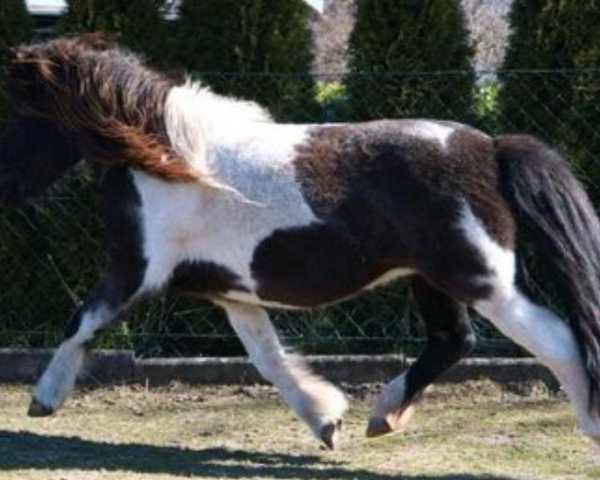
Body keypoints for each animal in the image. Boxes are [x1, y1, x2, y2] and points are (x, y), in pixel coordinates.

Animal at [1, 34, 600, 450]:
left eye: (18, 113)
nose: (5, 187)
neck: (167, 157)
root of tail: (492, 149)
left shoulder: (135, 272)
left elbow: (80, 323)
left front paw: (43, 400)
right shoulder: (231, 291)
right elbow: (269, 359)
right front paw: (326, 421)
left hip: (483, 280)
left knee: (558, 340)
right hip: (433, 278)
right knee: (454, 340)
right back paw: (382, 415)